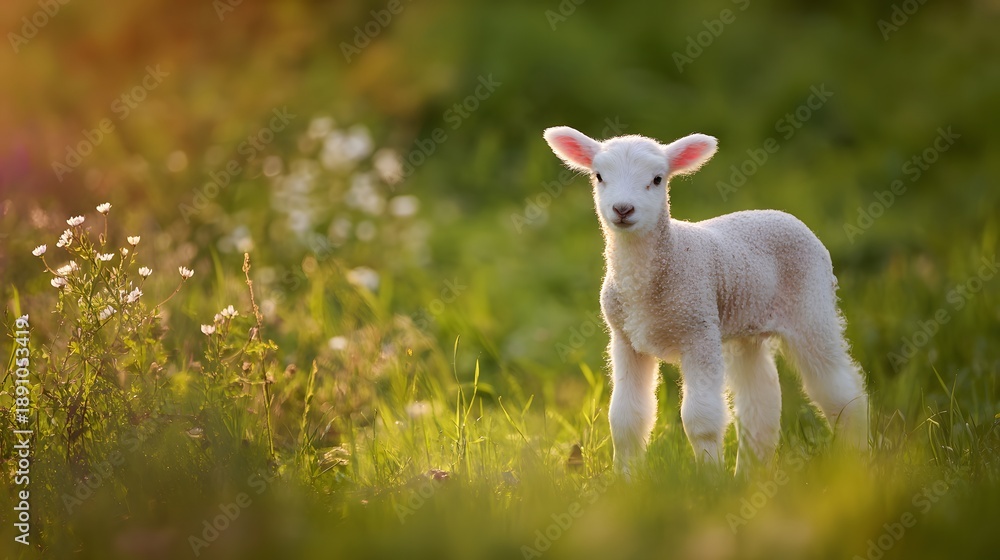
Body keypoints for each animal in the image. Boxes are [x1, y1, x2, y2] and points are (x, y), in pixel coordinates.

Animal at [542, 126, 868, 476]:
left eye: (657, 178)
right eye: (599, 176)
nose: (623, 209)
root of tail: (780, 213)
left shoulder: (698, 331)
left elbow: (701, 420)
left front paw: (709, 481)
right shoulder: (626, 339)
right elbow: (626, 419)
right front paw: (625, 480)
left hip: (811, 305)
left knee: (840, 389)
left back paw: (856, 459)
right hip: (745, 324)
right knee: (760, 402)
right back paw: (750, 476)